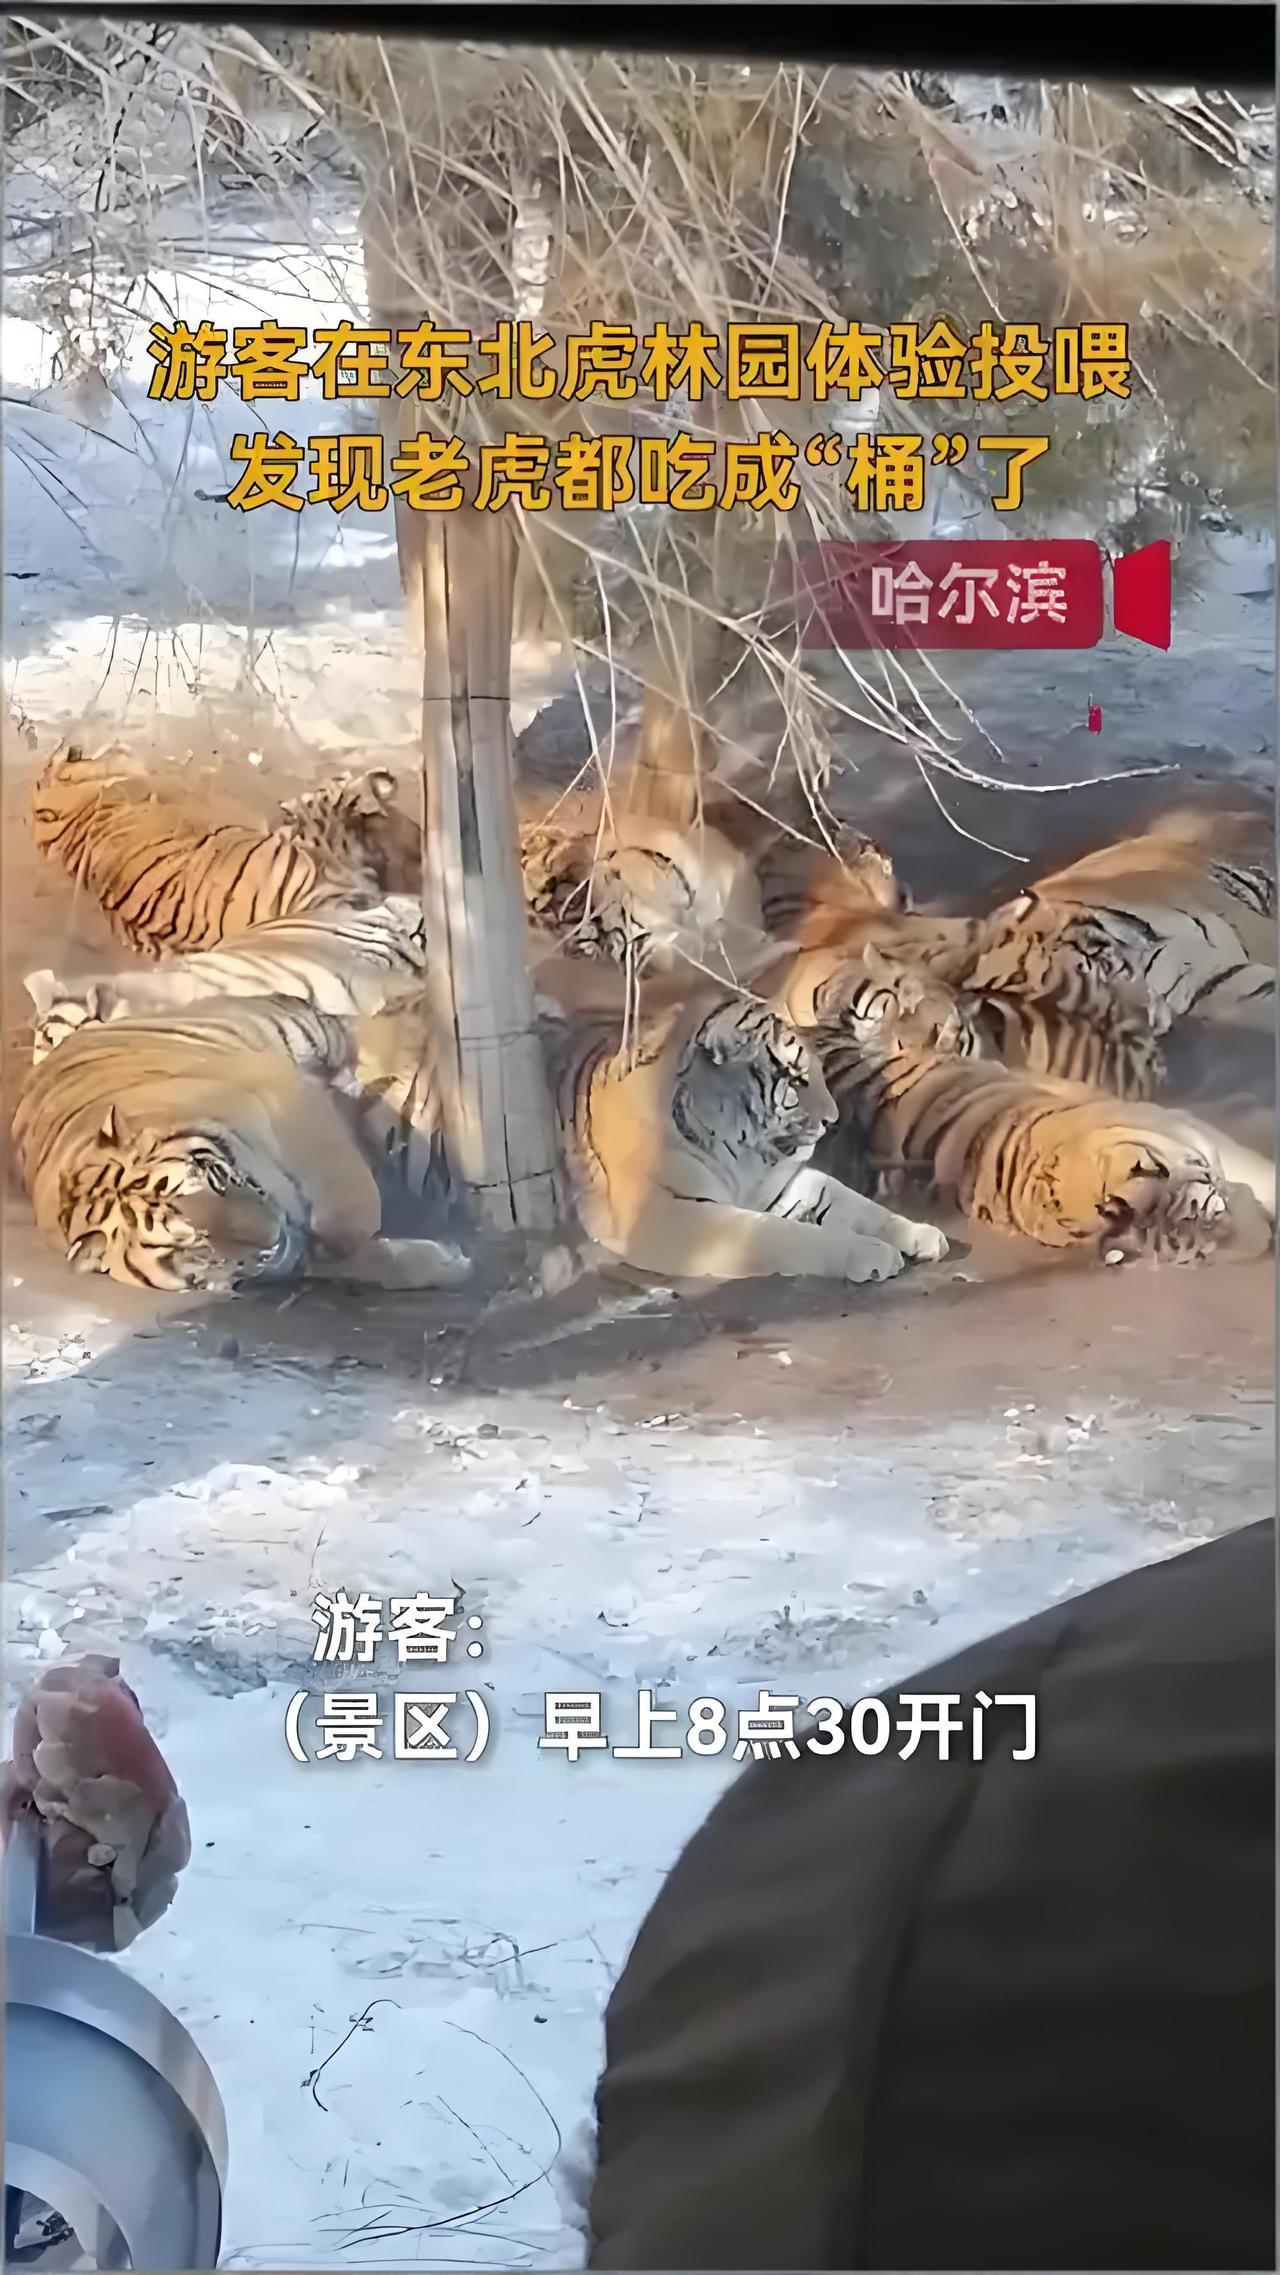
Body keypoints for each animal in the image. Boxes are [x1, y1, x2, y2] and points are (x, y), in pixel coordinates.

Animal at [10, 996, 470, 1296]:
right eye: (190, 1244)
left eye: (211, 1178)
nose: (271, 1236)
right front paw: (442, 1263)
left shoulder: (279, 1091)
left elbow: (343, 1192)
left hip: (303, 1033)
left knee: (369, 1034)